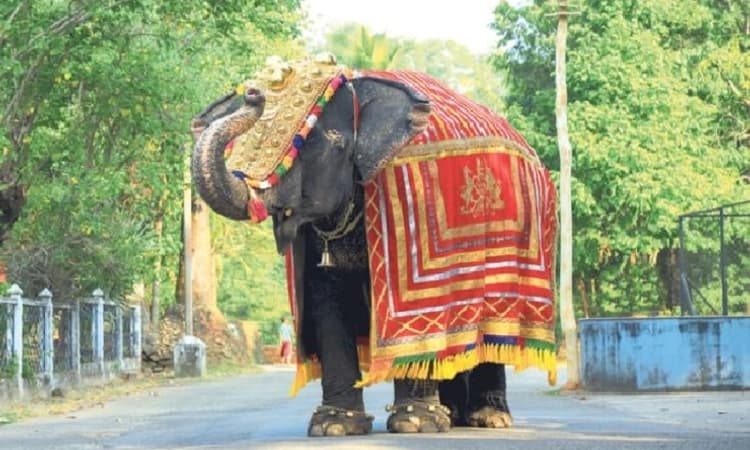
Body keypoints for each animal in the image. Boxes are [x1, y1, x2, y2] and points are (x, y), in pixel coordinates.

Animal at [191, 55, 557, 437]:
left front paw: (416, 424)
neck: (359, 87)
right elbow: (325, 297)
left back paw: (487, 418)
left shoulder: (413, 208)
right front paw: (334, 425)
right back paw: (454, 413)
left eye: (325, 143)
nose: (253, 94)